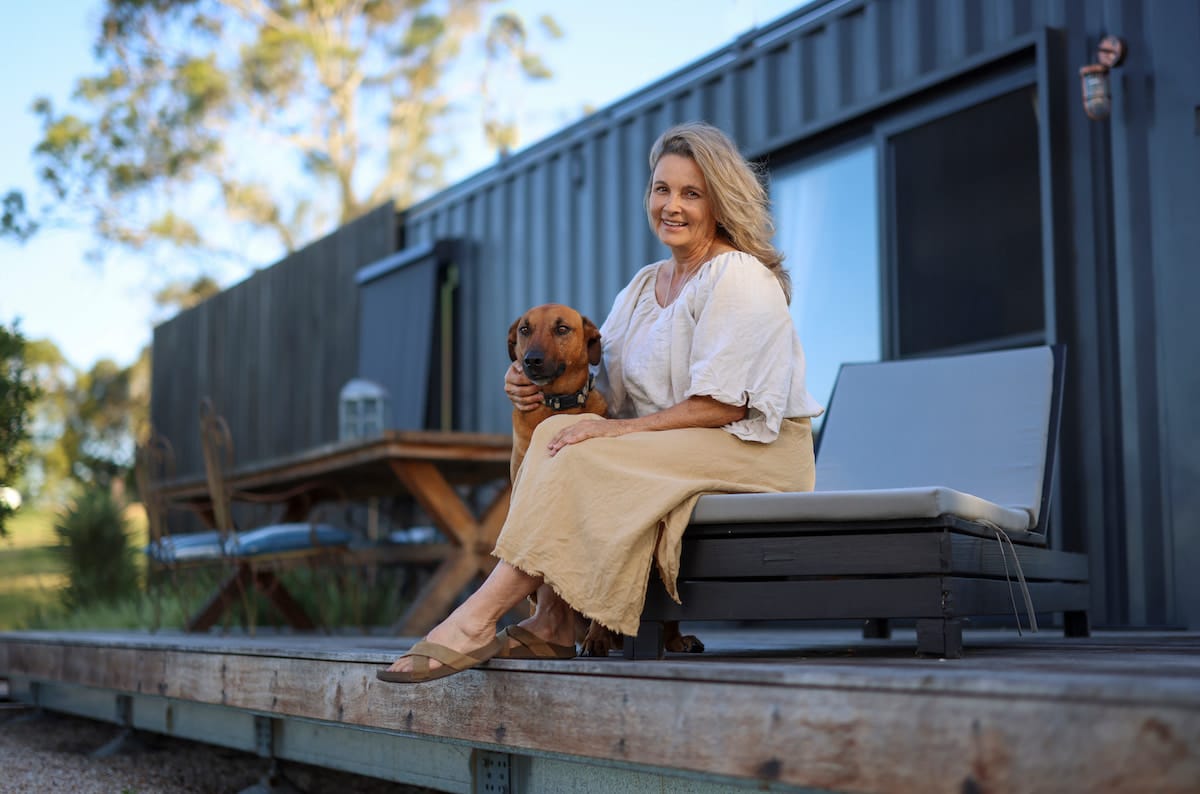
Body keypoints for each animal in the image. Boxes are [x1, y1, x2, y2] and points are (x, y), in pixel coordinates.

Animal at [506, 304, 700, 657]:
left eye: (562, 329)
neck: (557, 408)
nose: (531, 361)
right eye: (525, 330)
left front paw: (597, 638)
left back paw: (671, 639)